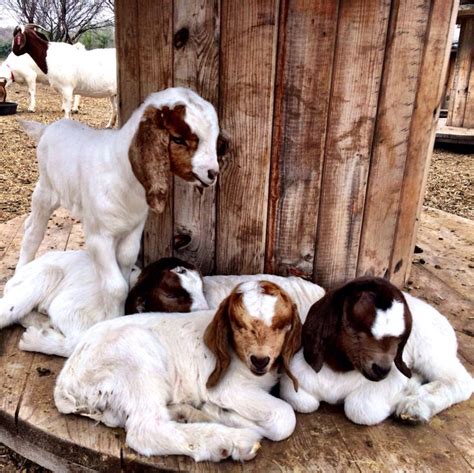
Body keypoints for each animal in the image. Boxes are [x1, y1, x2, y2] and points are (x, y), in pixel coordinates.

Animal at [0, 249, 207, 356]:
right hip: (45, 273)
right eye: (170, 295)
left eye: (202, 289)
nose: (205, 310)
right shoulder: (67, 308)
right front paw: (32, 340)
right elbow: (77, 342)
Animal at [54, 280, 300, 460]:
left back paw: (184, 413)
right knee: (145, 430)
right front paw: (220, 413)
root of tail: (66, 380)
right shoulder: (227, 387)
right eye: (238, 325)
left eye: (281, 325)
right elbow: (285, 417)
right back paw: (232, 442)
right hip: (135, 357)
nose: (260, 360)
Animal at [280, 276, 472, 424]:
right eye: (354, 329)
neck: (340, 371)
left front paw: (404, 393)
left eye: (399, 339)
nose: (382, 370)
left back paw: (413, 407)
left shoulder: (394, 377)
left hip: (431, 350)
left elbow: (360, 408)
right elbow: (301, 401)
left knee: (459, 380)